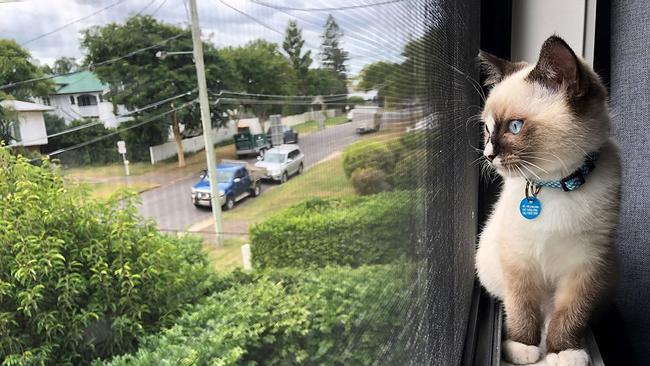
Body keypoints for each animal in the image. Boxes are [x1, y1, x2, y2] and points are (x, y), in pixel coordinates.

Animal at [474, 35, 620, 366]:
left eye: (514, 127)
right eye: (487, 129)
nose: (488, 156)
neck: (553, 185)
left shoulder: (585, 267)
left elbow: (569, 315)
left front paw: (563, 351)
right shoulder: (518, 261)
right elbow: (522, 309)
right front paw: (521, 347)